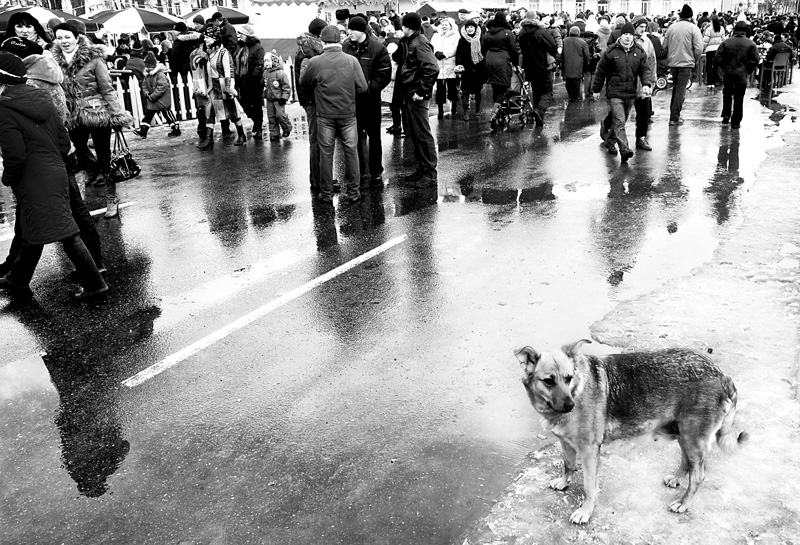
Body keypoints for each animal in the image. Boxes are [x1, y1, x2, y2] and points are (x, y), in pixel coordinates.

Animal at [516, 340, 748, 524]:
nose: (570, 405)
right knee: (687, 463)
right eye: (549, 381)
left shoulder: (589, 451)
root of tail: (722, 375)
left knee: (698, 475)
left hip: (693, 438)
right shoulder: (565, 442)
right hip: (684, 434)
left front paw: (585, 511)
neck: (577, 387)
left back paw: (684, 503)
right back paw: (676, 478)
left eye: (568, 378)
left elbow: (589, 486)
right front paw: (564, 483)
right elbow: (568, 465)